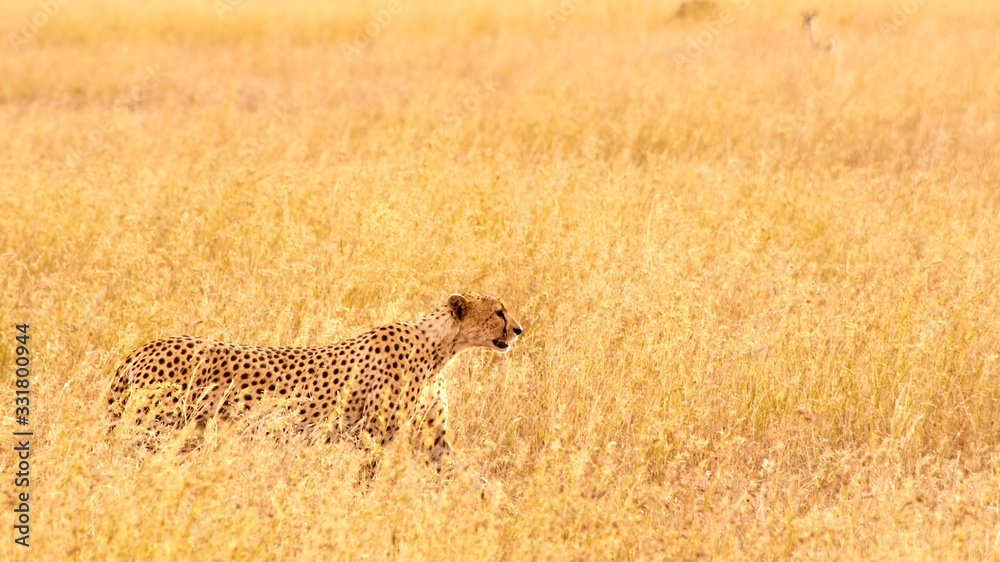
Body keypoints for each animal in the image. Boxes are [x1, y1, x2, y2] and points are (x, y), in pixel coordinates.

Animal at [109, 294, 524, 460]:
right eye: (499, 312)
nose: (519, 330)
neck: (441, 348)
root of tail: (144, 346)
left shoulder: (435, 441)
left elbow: (468, 475)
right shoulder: (372, 436)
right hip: (153, 430)